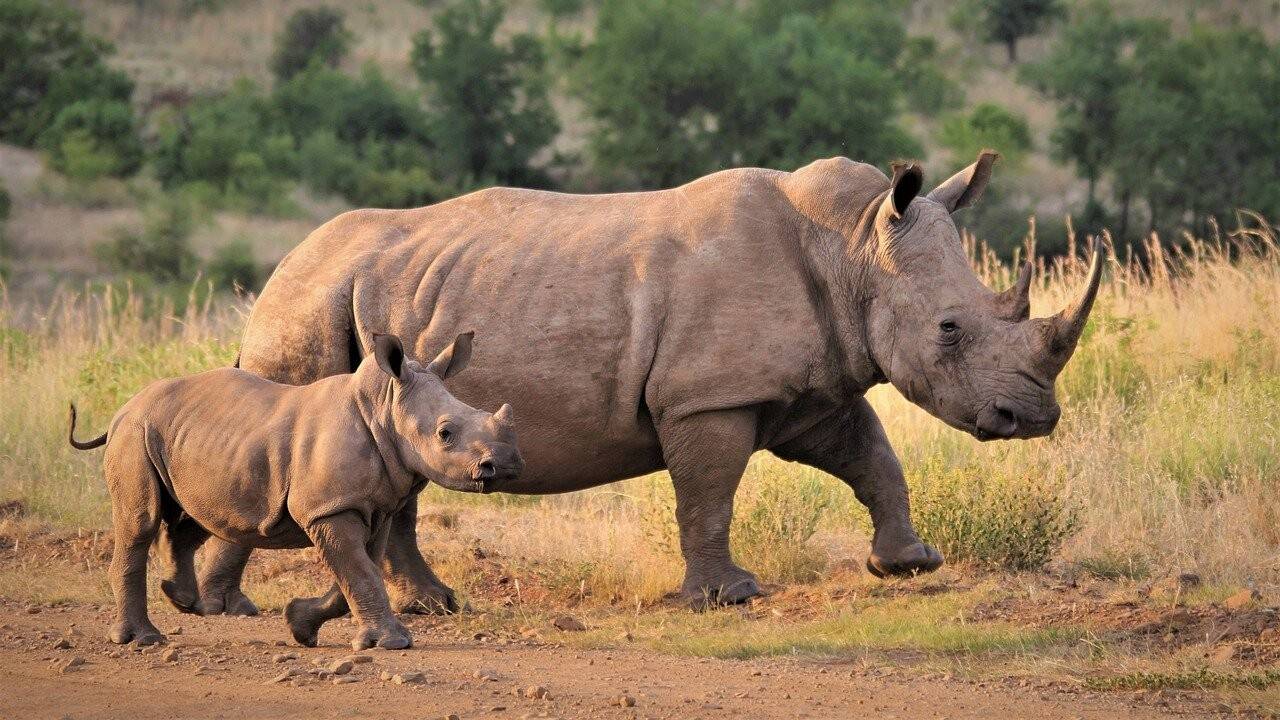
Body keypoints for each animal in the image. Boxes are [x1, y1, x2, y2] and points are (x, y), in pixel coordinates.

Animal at [67, 333, 519, 648]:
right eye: (445, 433)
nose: (508, 464)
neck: (383, 407)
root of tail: (123, 408)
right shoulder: (329, 508)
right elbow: (360, 571)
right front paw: (393, 643)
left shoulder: (371, 507)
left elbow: (358, 572)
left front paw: (299, 625)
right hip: (135, 433)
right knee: (140, 522)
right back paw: (144, 639)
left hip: (184, 437)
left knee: (197, 516)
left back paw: (182, 601)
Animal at [197, 151, 1100, 609]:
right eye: (950, 329)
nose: (1033, 416)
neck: (851, 247)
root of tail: (280, 268)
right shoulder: (709, 395)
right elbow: (710, 492)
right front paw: (727, 597)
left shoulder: (811, 388)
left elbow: (874, 457)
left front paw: (909, 565)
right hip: (309, 306)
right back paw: (222, 607)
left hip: (369, 304)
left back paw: (433, 606)